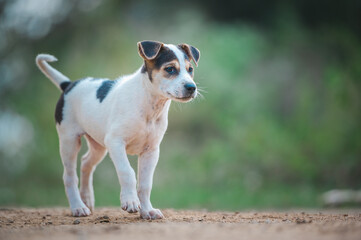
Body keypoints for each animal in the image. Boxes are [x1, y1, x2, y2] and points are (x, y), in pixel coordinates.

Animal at [35, 40, 200, 219]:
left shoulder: (151, 151)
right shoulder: (115, 142)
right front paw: (130, 201)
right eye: (170, 69)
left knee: (86, 163)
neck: (149, 105)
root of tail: (69, 85)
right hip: (69, 141)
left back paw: (87, 199)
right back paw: (78, 207)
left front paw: (147, 210)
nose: (191, 87)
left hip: (98, 146)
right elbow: (127, 172)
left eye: (190, 69)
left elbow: (145, 184)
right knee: (69, 176)